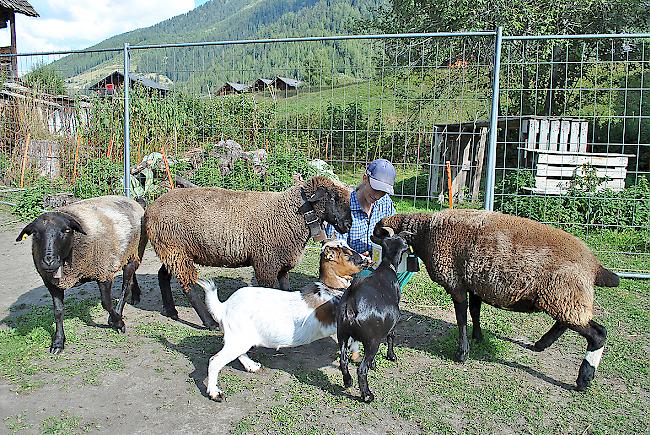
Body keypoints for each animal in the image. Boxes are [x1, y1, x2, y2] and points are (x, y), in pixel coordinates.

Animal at [197, 240, 370, 404]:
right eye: (347, 255)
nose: (367, 258)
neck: (331, 289)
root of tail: (224, 306)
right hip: (238, 336)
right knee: (215, 361)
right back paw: (214, 392)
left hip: (240, 337)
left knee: (238, 353)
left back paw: (251, 366)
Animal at [336, 230, 408, 404]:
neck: (387, 267)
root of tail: (352, 302)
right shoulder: (391, 325)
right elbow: (391, 337)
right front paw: (391, 356)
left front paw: (374, 364)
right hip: (372, 341)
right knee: (361, 369)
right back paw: (367, 395)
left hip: (342, 333)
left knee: (343, 360)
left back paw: (348, 381)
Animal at [372, 209, 616, 394]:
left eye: (379, 233)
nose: (369, 238)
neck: (425, 233)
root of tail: (594, 266)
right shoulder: (473, 282)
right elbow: (474, 311)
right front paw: (478, 336)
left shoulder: (455, 282)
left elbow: (461, 317)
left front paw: (462, 353)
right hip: (564, 297)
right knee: (565, 322)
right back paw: (540, 345)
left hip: (564, 294)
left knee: (597, 333)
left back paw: (584, 379)